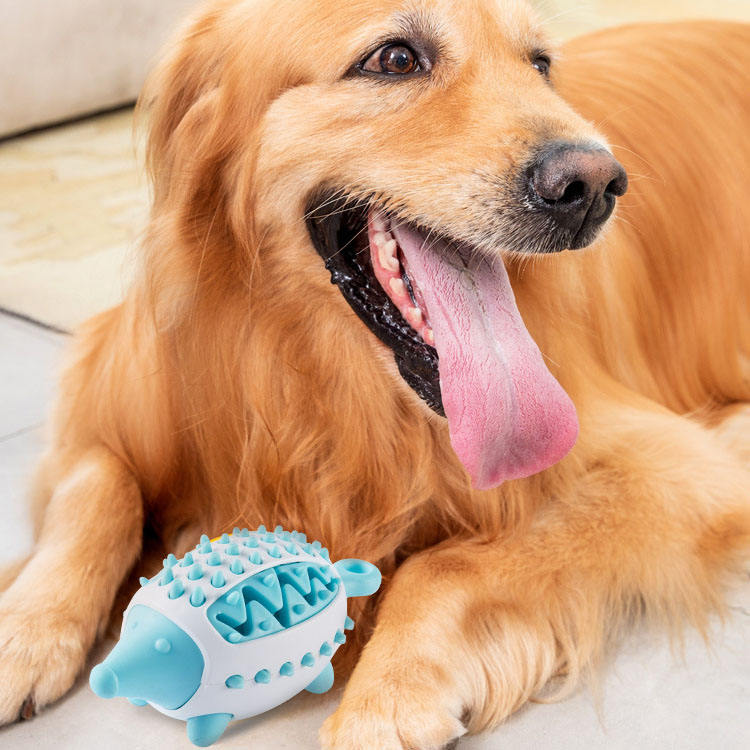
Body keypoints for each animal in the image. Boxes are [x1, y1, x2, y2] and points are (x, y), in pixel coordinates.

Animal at [1, 0, 750, 748]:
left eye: (540, 64)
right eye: (394, 59)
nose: (593, 184)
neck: (314, 375)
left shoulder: (673, 468)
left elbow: (444, 564)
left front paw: (383, 700)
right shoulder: (110, 387)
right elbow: (100, 486)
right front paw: (24, 633)